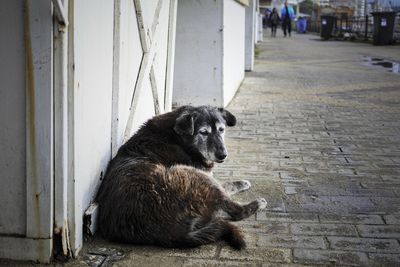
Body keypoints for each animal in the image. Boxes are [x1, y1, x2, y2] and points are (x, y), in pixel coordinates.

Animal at [95, 105, 268, 250]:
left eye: (221, 129)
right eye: (203, 132)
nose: (223, 155)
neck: (179, 138)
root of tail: (170, 233)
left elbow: (226, 184)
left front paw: (242, 183)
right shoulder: (203, 172)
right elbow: (224, 187)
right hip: (191, 173)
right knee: (235, 211)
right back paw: (256, 204)